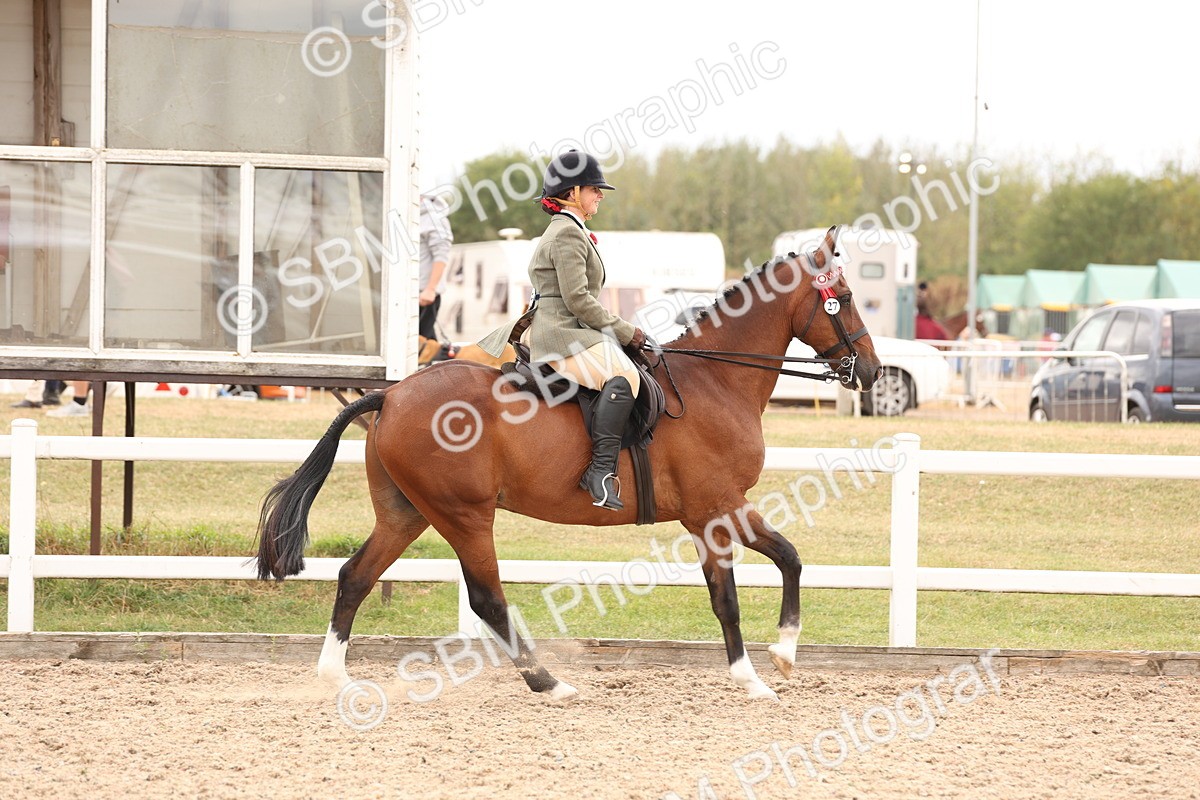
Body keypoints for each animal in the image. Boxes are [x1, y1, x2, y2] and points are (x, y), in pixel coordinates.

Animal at [256, 225, 883, 701]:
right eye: (847, 298)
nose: (873, 371)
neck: (716, 381)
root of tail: (392, 394)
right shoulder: (715, 509)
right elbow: (730, 598)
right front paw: (758, 676)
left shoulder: (718, 510)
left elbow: (790, 559)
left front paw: (782, 655)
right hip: (463, 515)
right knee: (486, 599)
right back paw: (548, 683)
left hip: (406, 513)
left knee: (355, 576)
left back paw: (335, 677)